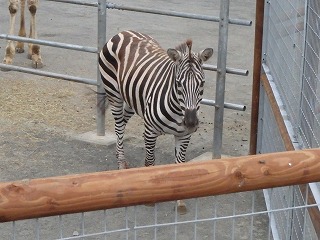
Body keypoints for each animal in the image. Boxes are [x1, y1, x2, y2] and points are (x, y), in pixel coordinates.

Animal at [97, 30, 212, 212]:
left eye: (201, 83)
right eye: (178, 83)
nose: (191, 122)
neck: (178, 110)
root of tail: (123, 32)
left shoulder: (184, 136)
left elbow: (180, 165)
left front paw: (180, 201)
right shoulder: (150, 131)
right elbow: (150, 161)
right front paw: (150, 197)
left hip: (133, 100)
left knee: (123, 121)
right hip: (114, 93)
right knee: (119, 126)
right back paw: (121, 163)